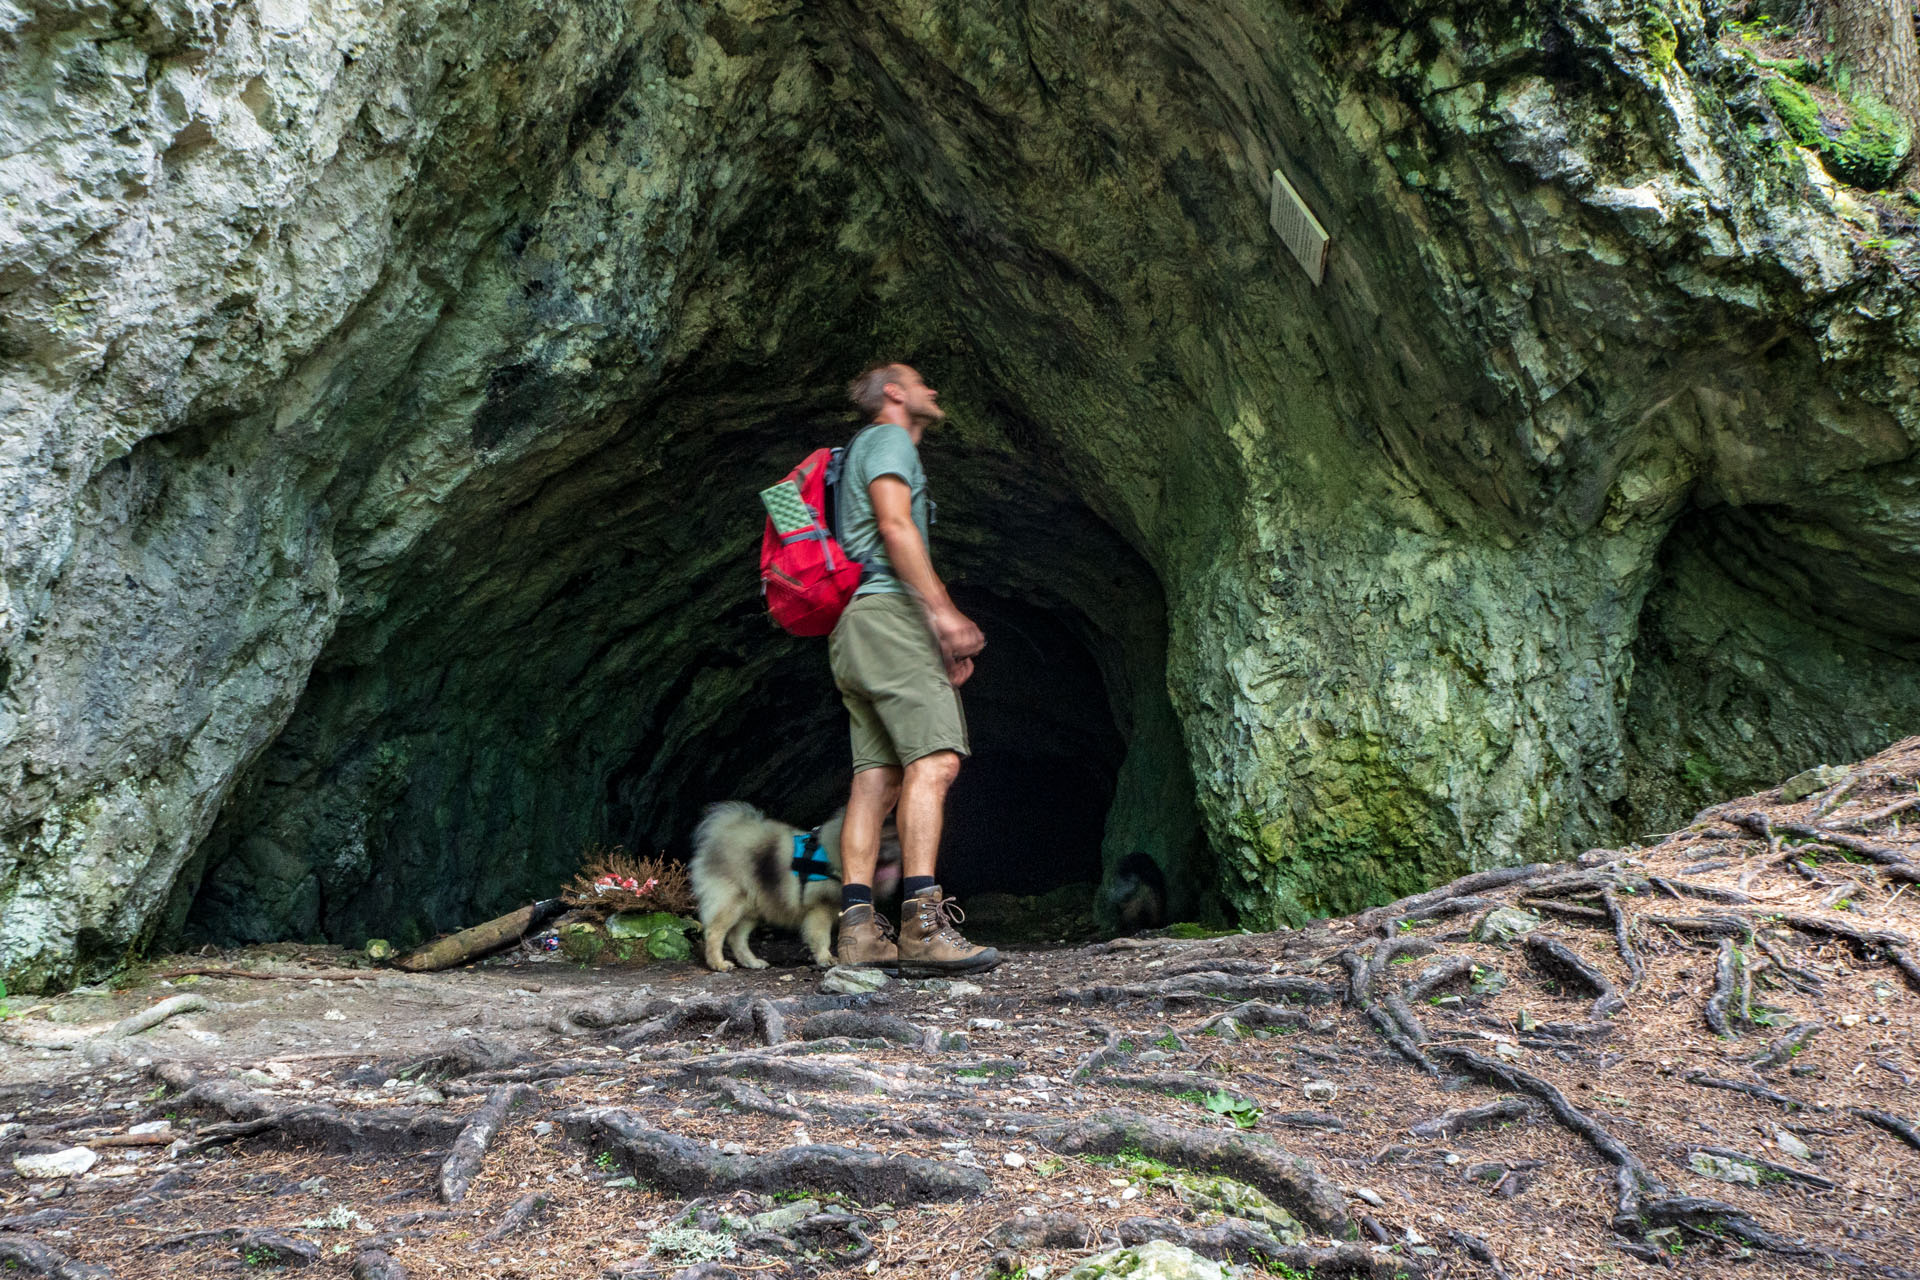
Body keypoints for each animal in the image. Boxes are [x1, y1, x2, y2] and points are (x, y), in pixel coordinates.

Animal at [691, 802, 898, 971]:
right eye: (883, 840)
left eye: (895, 838)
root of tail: (721, 832)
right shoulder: (820, 909)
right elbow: (821, 936)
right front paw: (826, 958)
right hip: (732, 903)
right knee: (715, 932)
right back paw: (718, 963)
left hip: (752, 908)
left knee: (737, 937)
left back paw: (751, 962)